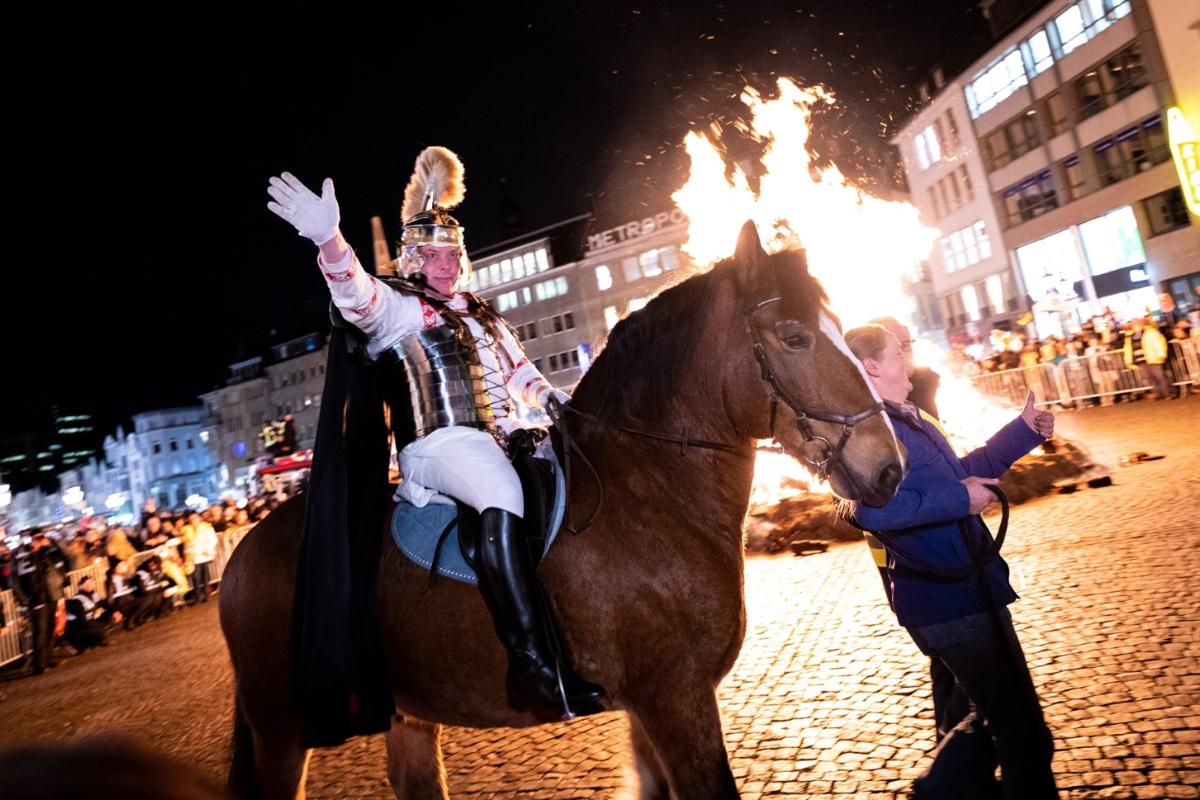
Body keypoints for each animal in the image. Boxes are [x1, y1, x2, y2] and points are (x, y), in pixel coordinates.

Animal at [220, 221, 902, 796]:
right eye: (795, 337)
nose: (889, 468)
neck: (647, 490)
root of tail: (242, 554)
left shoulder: (650, 708)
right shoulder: (676, 699)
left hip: (404, 716)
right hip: (282, 731)